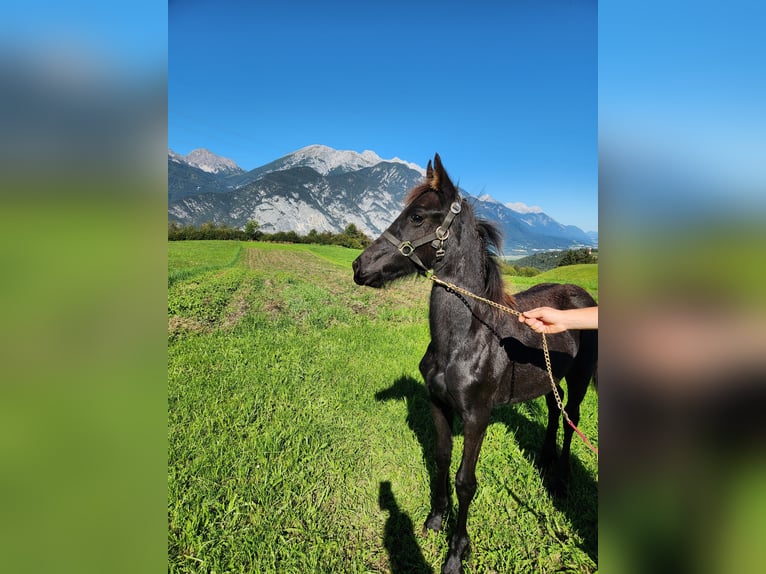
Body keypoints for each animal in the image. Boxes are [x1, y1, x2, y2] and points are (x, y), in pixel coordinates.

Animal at [352, 154, 597, 574]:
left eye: (417, 217)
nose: (358, 266)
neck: (463, 341)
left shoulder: (476, 416)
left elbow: (466, 481)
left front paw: (456, 552)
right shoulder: (439, 405)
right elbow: (440, 459)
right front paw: (435, 519)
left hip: (581, 379)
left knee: (572, 418)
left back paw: (562, 478)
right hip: (549, 378)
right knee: (554, 408)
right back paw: (544, 458)